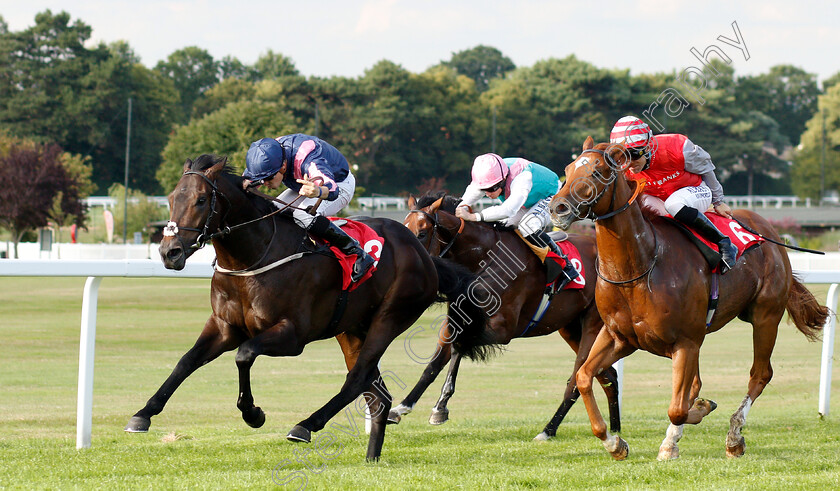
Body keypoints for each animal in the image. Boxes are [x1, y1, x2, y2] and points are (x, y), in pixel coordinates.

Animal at [120, 156, 488, 464]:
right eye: (171, 198)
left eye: (199, 200)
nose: (169, 252)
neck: (253, 257)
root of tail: (424, 255)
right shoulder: (223, 327)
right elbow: (186, 361)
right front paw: (143, 414)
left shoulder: (291, 335)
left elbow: (244, 354)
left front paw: (253, 413)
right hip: (351, 329)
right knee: (377, 394)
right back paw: (371, 458)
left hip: (390, 317)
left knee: (357, 380)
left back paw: (306, 425)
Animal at [390, 190, 620, 440]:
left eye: (422, 233)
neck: (484, 259)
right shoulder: (456, 322)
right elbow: (432, 365)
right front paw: (401, 407)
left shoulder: (502, 329)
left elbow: (459, 347)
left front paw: (440, 407)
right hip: (570, 328)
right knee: (607, 375)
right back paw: (615, 427)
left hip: (592, 325)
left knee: (577, 379)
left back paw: (548, 430)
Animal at [552, 138, 828, 462]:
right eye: (569, 168)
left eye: (598, 173)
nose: (557, 208)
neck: (640, 266)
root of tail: (767, 231)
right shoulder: (618, 336)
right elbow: (584, 377)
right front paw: (614, 443)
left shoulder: (685, 341)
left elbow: (677, 408)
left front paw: (676, 436)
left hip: (765, 316)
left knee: (760, 374)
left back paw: (734, 436)